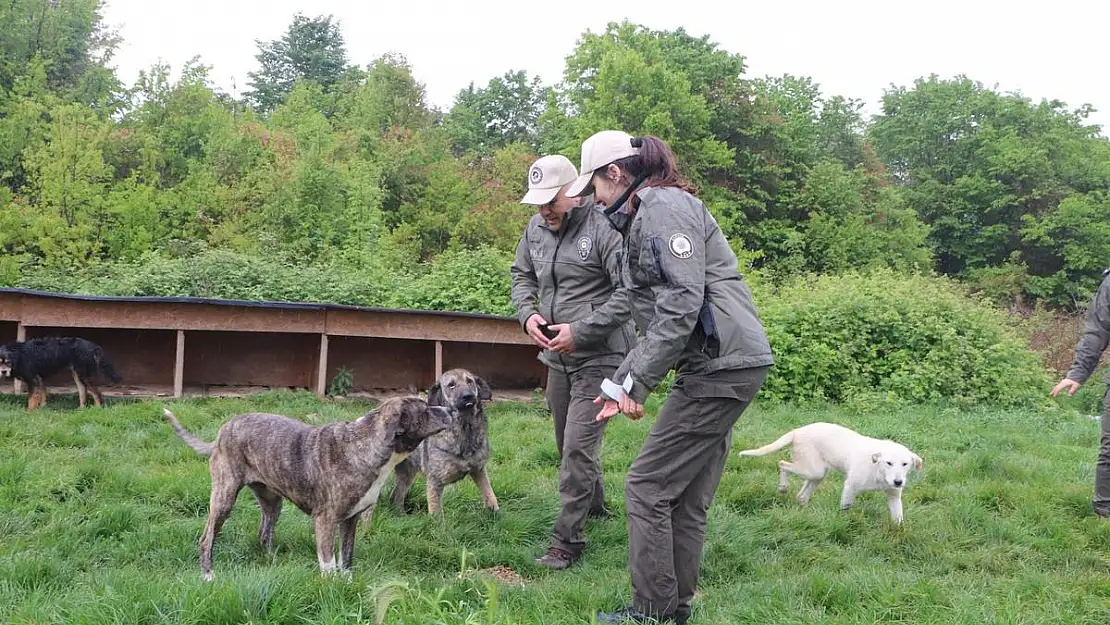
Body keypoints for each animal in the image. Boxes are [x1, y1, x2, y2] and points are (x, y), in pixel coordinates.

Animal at [162, 395, 455, 581]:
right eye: (425, 411)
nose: (451, 411)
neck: (365, 445)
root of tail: (222, 431)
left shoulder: (350, 519)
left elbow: (346, 558)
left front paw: (346, 585)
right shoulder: (325, 520)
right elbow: (328, 561)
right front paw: (330, 587)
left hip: (272, 502)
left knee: (264, 534)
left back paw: (272, 563)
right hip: (224, 498)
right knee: (207, 538)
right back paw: (208, 576)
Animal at [386, 368, 499, 515]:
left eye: (470, 381)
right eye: (451, 385)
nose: (468, 396)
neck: (464, 429)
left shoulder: (479, 470)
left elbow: (490, 495)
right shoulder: (435, 481)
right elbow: (437, 515)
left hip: (407, 471)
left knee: (396, 496)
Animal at [741, 424, 923, 526]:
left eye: (905, 464)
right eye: (889, 463)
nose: (898, 481)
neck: (877, 469)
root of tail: (797, 431)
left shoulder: (894, 496)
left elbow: (898, 518)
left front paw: (899, 533)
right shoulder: (850, 486)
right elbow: (846, 507)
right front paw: (845, 523)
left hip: (818, 473)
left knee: (802, 495)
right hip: (812, 469)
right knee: (782, 464)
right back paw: (783, 487)